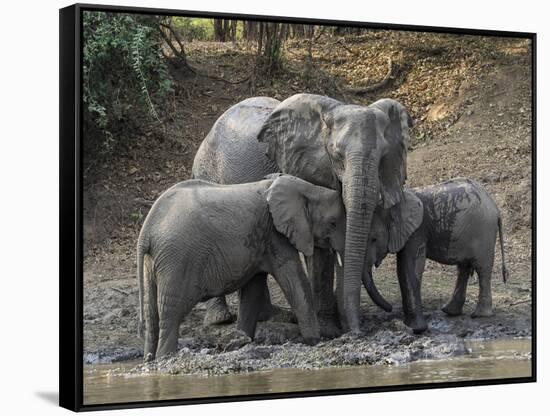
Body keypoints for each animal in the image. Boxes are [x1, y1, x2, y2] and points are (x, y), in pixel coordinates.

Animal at [137, 174, 344, 360]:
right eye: (333, 223)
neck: (305, 188)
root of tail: (146, 230)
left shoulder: (261, 241)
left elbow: (252, 290)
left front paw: (242, 340)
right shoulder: (275, 235)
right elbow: (294, 281)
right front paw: (315, 341)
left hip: (155, 261)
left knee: (152, 313)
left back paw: (150, 357)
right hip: (178, 259)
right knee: (171, 312)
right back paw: (165, 356)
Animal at [194, 92, 414, 334]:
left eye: (384, 156)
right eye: (337, 155)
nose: (358, 332)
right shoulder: (308, 168)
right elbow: (319, 248)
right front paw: (329, 330)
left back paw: (273, 316)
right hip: (206, 170)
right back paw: (220, 319)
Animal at [368, 177, 512, 334]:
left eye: (374, 239)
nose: (389, 308)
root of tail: (496, 209)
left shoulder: (417, 231)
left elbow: (409, 267)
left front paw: (415, 328)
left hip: (483, 233)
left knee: (482, 269)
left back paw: (479, 315)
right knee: (464, 268)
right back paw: (450, 311)